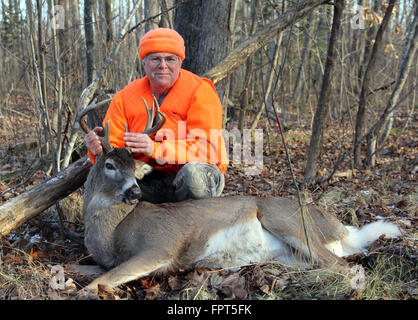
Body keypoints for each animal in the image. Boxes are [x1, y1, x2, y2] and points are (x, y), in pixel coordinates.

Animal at [79, 97, 402, 292]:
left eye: (134, 169)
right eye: (109, 165)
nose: (134, 191)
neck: (111, 233)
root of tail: (340, 228)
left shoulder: (160, 246)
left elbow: (98, 282)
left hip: (288, 220)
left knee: (345, 267)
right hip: (290, 255)